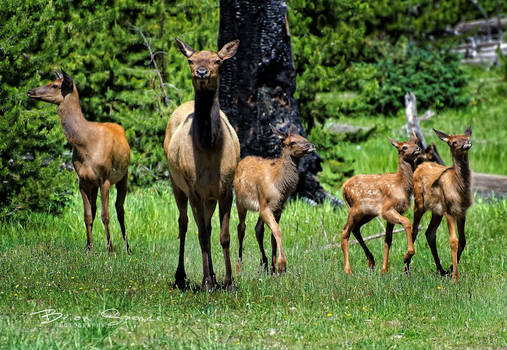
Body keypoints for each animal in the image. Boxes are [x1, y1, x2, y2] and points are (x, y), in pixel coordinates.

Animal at [27, 69, 132, 253]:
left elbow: (106, 216)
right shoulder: (82, 180)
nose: (30, 91)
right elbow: (88, 215)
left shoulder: (104, 178)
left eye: (55, 85)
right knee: (96, 209)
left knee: (119, 210)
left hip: (123, 176)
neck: (85, 144)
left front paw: (110, 249)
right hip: (94, 184)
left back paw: (127, 248)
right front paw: (88, 248)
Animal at [164, 37, 241, 290]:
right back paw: (181, 275)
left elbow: (224, 236)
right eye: (191, 59)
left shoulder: (226, 188)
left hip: (210, 196)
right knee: (184, 223)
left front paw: (228, 280)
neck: (209, 148)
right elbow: (201, 236)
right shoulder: (194, 189)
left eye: (217, 60)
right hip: (176, 183)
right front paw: (207, 281)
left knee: (206, 224)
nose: (201, 72)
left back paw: (215, 277)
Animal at [235, 124, 316, 274]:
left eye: (303, 136)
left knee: (257, 229)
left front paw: (274, 268)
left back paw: (265, 262)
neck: (280, 187)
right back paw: (239, 266)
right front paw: (282, 265)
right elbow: (277, 230)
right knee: (241, 228)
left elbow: (273, 234)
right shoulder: (265, 206)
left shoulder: (277, 209)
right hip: (240, 202)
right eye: (292, 142)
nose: (311, 145)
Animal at [342, 136, 424, 274]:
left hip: (366, 214)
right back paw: (348, 270)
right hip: (355, 209)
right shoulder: (387, 209)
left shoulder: (393, 213)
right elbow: (407, 222)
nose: (418, 148)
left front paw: (384, 270)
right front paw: (407, 255)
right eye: (404, 147)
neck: (402, 185)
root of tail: (343, 188)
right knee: (345, 232)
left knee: (355, 229)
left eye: (415, 142)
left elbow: (388, 240)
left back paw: (371, 261)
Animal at [404, 126, 472, 282]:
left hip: (436, 211)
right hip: (419, 203)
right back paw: (406, 269)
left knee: (429, 233)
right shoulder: (449, 210)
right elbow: (453, 241)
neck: (459, 189)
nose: (467, 142)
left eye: (467, 137)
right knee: (414, 231)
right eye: (453, 142)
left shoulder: (462, 212)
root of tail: (420, 166)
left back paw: (440, 270)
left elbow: (463, 240)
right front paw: (455, 277)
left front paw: (451, 269)